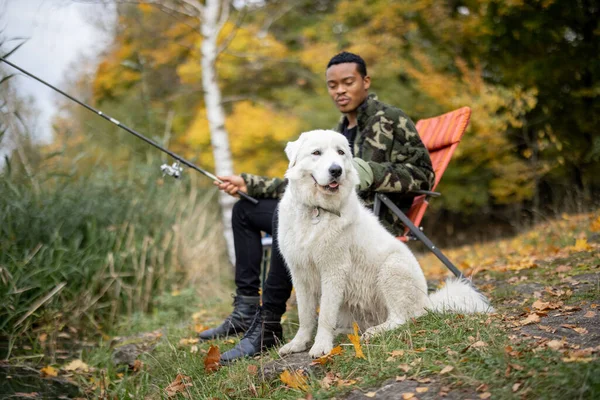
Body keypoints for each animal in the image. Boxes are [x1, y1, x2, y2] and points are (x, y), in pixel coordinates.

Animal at [276, 130, 492, 358]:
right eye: (316, 153)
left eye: (340, 153)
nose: (336, 170)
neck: (316, 210)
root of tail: (427, 302)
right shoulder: (299, 273)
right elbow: (305, 315)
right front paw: (298, 343)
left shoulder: (334, 270)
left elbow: (325, 313)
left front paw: (321, 346)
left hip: (392, 269)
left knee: (401, 317)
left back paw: (375, 331)